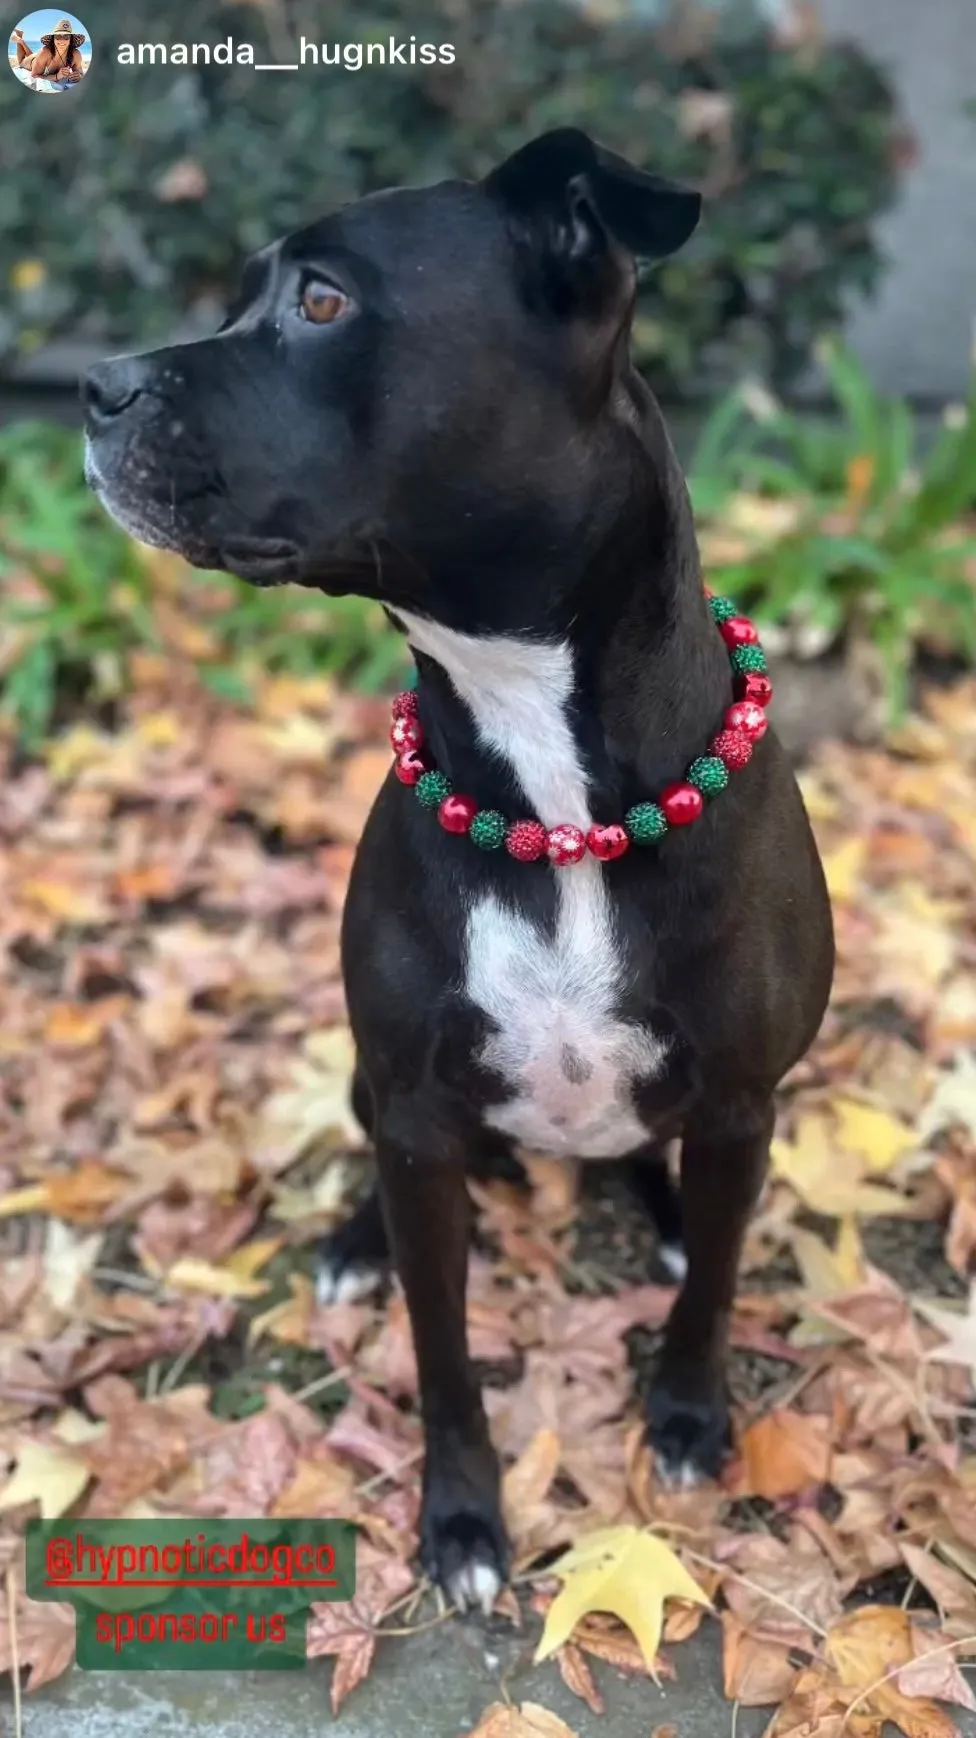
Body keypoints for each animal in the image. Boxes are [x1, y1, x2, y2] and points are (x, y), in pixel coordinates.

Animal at [85, 132, 826, 1612]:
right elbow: (442, 1353)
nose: (93, 384)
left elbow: (712, 1289)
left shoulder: (739, 1109)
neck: (550, 790)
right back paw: (352, 1246)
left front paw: (687, 1418)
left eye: (319, 301)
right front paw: (466, 1522)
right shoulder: (421, 1126)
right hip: (384, 1093)